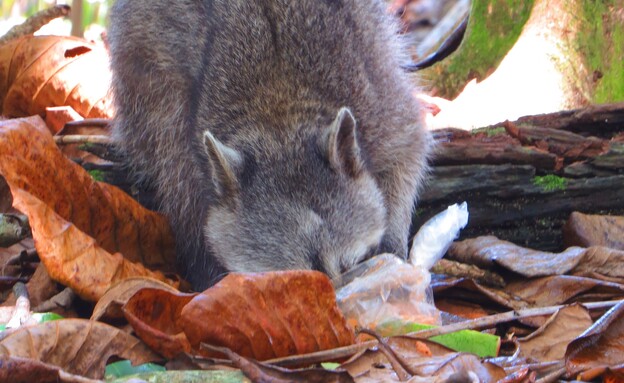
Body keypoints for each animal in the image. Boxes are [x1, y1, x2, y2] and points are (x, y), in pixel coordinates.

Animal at [108, 0, 428, 292]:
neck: (278, 118)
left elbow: (409, 150)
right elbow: (186, 193)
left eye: (350, 266)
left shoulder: (376, 95)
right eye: (292, 279)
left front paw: (394, 243)